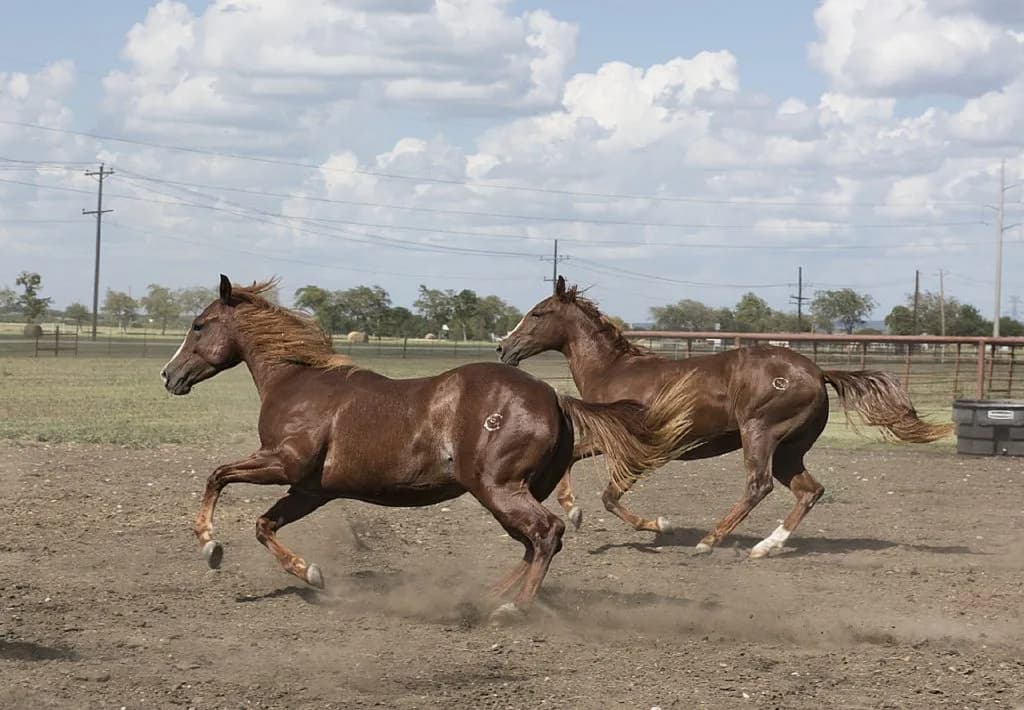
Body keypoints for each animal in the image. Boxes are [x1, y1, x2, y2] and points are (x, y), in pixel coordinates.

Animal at [160, 275, 696, 619]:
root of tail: (556, 398)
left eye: (199, 325)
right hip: (508, 492)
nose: (169, 376)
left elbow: (217, 476)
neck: (296, 383)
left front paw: (210, 545)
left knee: (547, 533)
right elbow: (263, 524)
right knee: (533, 542)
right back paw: (485, 595)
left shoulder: (284, 463)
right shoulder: (311, 489)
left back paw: (512, 606)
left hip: (497, 488)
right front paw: (310, 573)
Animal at [496, 276, 952, 559]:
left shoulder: (639, 447)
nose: (503, 348)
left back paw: (710, 541)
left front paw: (660, 525)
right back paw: (766, 547)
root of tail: (817, 371)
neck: (615, 370)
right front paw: (573, 512)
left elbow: (611, 495)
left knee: (758, 485)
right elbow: (575, 459)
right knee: (809, 490)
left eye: (537, 313)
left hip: (760, 434)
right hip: (790, 450)